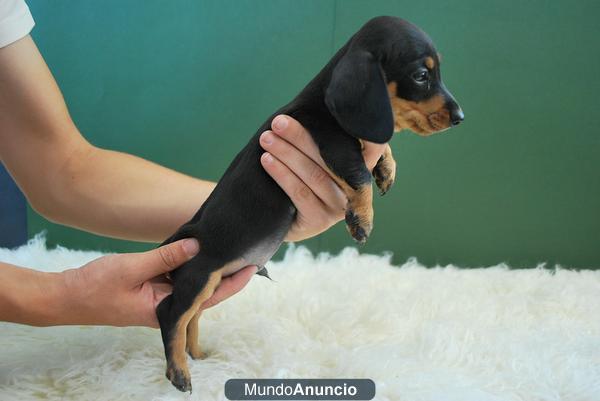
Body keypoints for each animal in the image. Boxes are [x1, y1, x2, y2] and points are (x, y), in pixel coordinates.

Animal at [156, 15, 464, 390]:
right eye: (421, 75)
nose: (460, 116)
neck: (323, 101)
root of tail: (185, 234)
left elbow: (380, 146)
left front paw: (387, 168)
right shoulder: (332, 140)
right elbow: (359, 174)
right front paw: (361, 219)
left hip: (212, 285)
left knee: (193, 316)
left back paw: (197, 354)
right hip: (199, 276)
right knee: (171, 313)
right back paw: (179, 371)